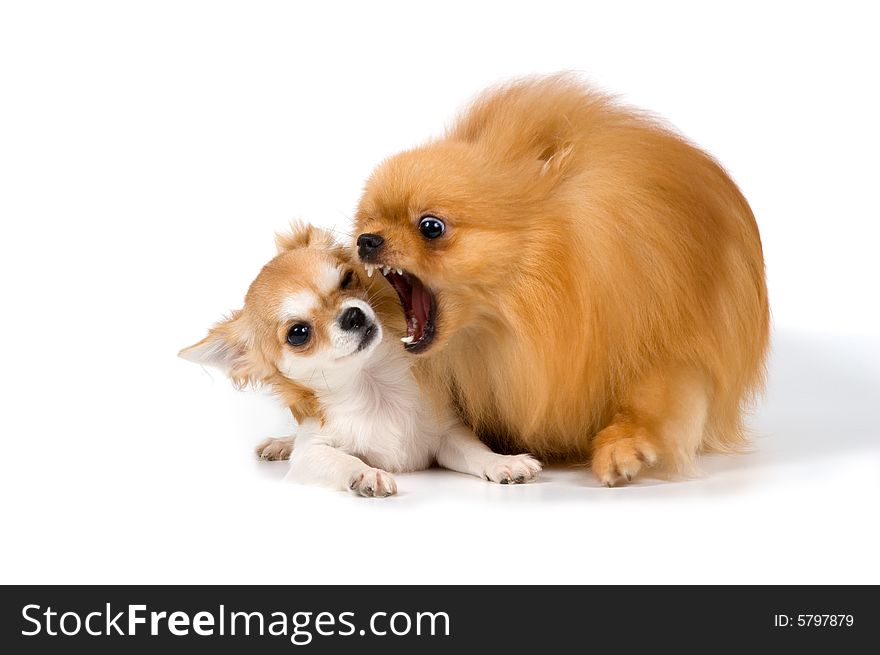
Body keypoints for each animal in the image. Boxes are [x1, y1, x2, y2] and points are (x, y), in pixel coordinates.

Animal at [180, 226, 544, 498]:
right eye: (298, 333)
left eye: (347, 280)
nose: (353, 314)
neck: (373, 384)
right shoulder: (311, 453)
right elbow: (338, 459)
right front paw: (367, 475)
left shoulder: (446, 436)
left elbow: (474, 451)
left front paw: (502, 463)